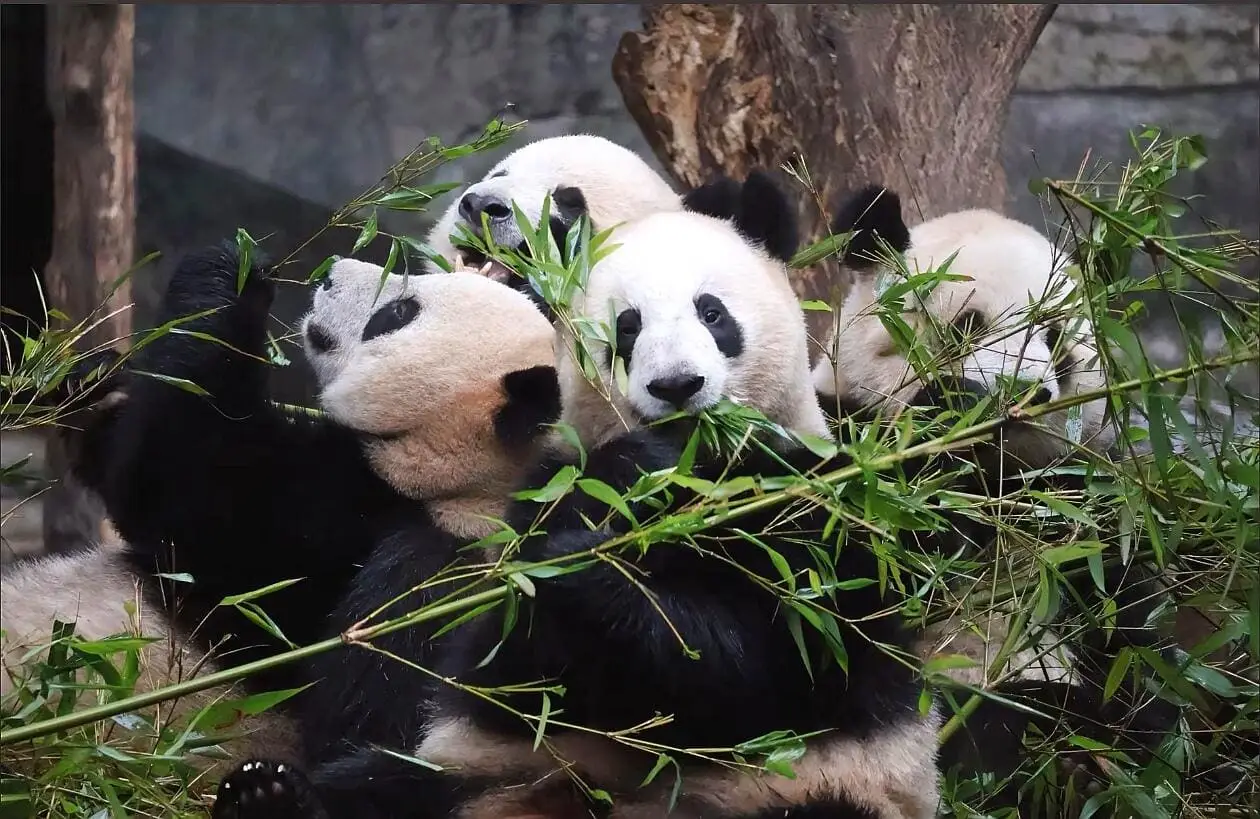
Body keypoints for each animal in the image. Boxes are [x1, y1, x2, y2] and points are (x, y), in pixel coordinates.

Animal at [1, 247, 563, 780]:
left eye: (400, 312)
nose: (331, 273)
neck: (469, 485)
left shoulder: (387, 548)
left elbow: (192, 487)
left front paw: (229, 273)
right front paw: (87, 379)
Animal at [210, 173, 941, 819]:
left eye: (712, 312)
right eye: (627, 327)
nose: (677, 386)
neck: (701, 474)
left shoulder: (819, 507)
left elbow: (771, 665)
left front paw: (599, 580)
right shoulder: (535, 490)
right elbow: (519, 662)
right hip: (479, 774)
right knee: (381, 790)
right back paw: (271, 797)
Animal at [809, 186, 1179, 809]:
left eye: (1055, 340)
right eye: (966, 325)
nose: (1024, 393)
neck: (994, 481)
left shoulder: (1086, 503)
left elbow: (1129, 621)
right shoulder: (850, 445)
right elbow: (872, 571)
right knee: (981, 740)